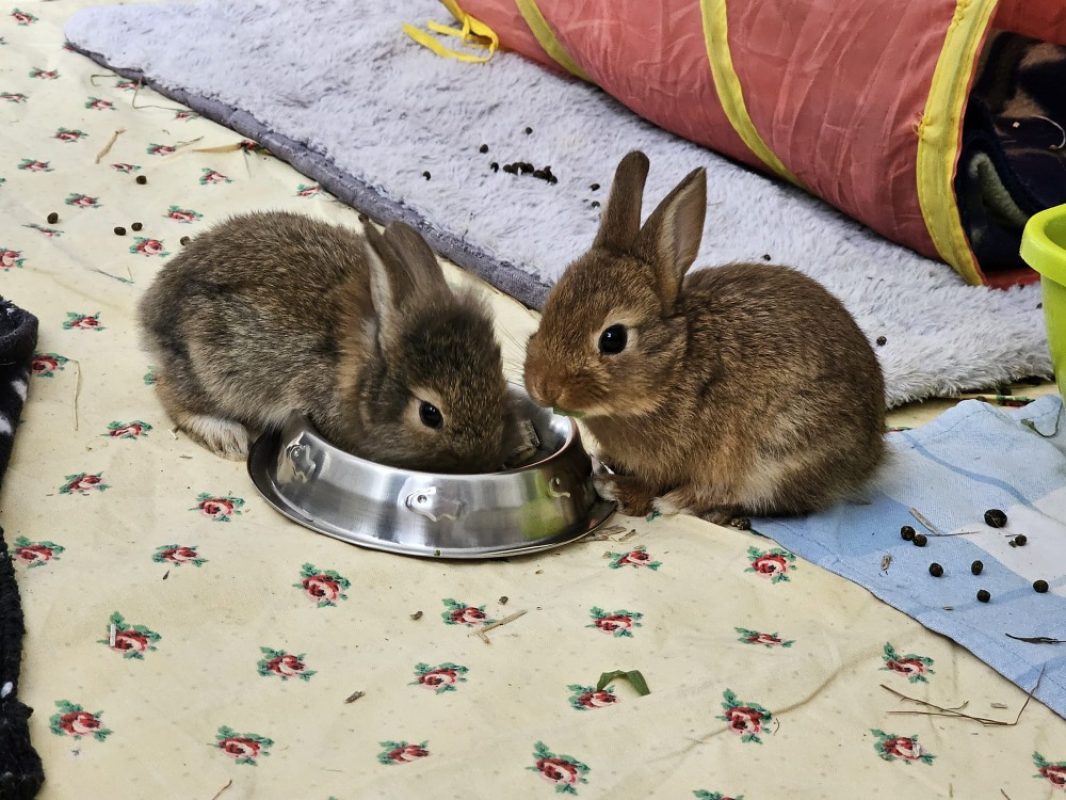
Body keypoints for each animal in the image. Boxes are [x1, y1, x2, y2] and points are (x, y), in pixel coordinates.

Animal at [138, 211, 516, 473]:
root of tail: (151, 309)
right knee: (170, 392)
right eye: (430, 414)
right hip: (212, 369)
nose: (482, 461)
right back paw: (227, 436)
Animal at [524, 151, 886, 524]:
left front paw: (616, 488)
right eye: (550, 306)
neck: (674, 368)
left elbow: (650, 484)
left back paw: (682, 501)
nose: (543, 387)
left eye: (613, 339)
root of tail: (872, 453)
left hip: (781, 452)